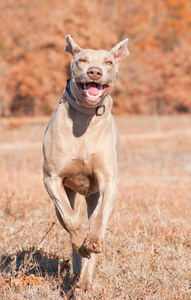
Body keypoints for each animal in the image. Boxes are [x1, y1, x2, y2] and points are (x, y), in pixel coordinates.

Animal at [42, 34, 129, 290]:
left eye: (109, 62)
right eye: (82, 60)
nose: (95, 72)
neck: (85, 118)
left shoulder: (108, 183)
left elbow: (99, 220)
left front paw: (93, 241)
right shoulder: (51, 179)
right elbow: (71, 219)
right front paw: (80, 239)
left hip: (94, 195)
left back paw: (84, 281)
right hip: (65, 195)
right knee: (68, 221)